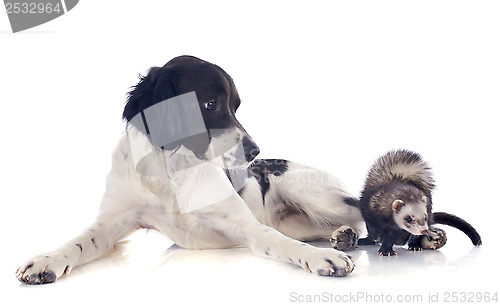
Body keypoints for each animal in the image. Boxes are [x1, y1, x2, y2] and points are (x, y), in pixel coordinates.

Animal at [16, 55, 368, 284]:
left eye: (235, 106)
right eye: (210, 104)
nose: (253, 152)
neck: (171, 172)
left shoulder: (246, 226)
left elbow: (279, 242)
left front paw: (320, 258)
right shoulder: (111, 224)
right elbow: (77, 242)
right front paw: (46, 260)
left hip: (315, 195)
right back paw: (343, 236)